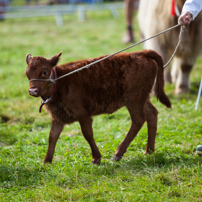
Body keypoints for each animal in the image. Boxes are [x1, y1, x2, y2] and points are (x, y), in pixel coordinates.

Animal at [24, 50, 170, 164]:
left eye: (44, 72)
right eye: (27, 73)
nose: (32, 91)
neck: (61, 82)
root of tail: (140, 53)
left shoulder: (83, 115)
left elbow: (87, 134)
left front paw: (96, 158)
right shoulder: (58, 117)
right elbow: (52, 136)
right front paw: (46, 161)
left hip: (134, 100)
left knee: (138, 120)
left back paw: (118, 154)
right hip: (142, 99)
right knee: (152, 114)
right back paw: (149, 151)